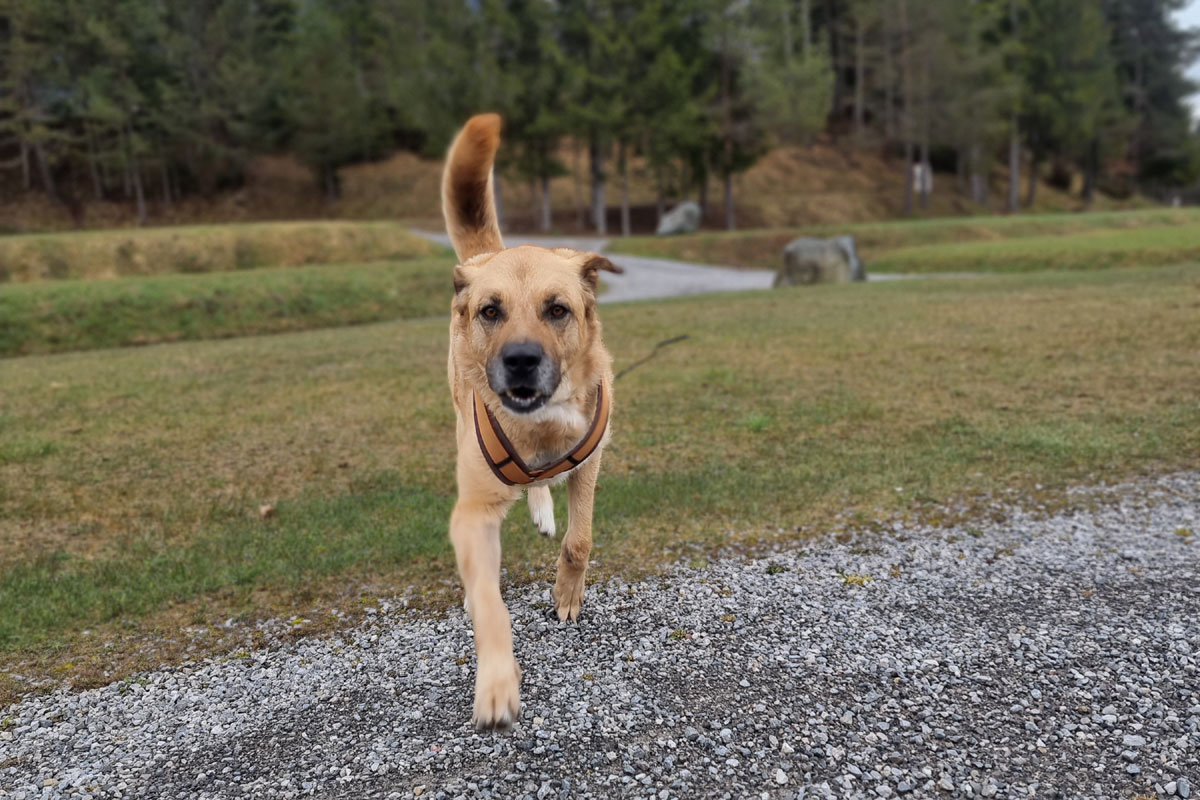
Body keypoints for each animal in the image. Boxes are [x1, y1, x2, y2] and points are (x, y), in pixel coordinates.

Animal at [441, 114, 622, 730]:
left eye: (557, 309)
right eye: (491, 311)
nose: (521, 360)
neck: (541, 425)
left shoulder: (589, 464)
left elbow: (580, 540)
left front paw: (567, 594)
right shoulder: (473, 511)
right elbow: (488, 601)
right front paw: (497, 683)